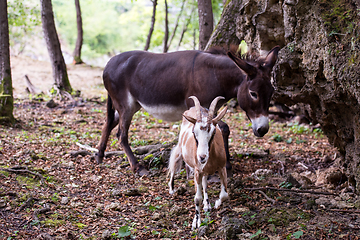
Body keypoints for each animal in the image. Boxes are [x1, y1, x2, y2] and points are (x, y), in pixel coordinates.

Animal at [168, 94, 229, 230]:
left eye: (214, 132)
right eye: (193, 132)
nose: (202, 157)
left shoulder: (222, 167)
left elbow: (224, 195)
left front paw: (216, 203)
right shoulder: (197, 171)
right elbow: (197, 198)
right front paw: (196, 222)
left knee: (205, 184)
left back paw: (207, 205)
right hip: (180, 150)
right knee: (174, 162)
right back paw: (171, 189)